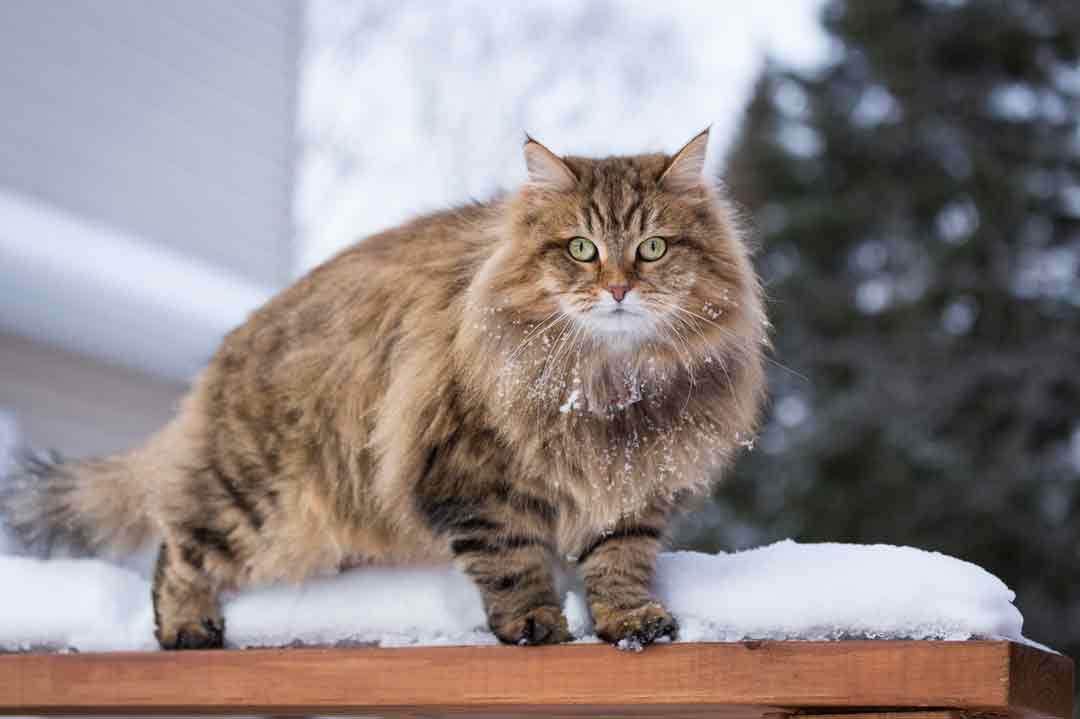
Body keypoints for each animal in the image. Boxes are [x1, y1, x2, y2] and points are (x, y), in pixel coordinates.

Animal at [0, 130, 768, 647]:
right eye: (582, 249)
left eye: (653, 248)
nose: (617, 288)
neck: (607, 384)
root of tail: (228, 350)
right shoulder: (471, 477)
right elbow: (512, 561)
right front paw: (534, 621)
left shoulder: (634, 487)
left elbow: (619, 561)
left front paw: (631, 620)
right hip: (258, 497)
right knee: (177, 545)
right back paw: (189, 626)